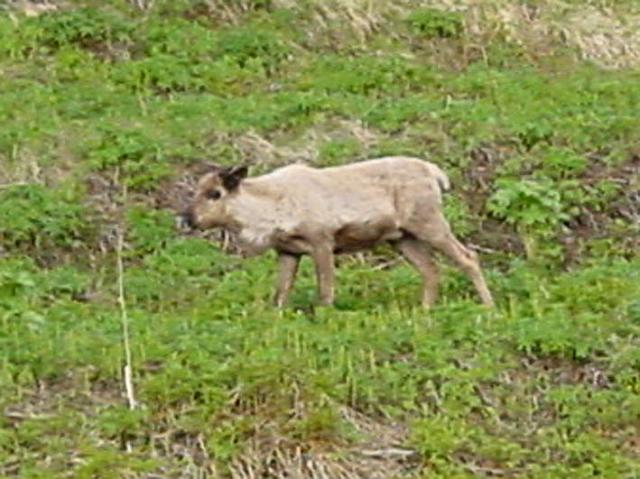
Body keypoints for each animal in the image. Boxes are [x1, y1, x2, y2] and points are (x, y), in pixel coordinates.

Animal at [181, 156, 496, 310]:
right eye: (196, 189)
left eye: (215, 193)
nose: (186, 219)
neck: (272, 212)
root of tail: (436, 174)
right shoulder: (288, 251)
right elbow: (280, 294)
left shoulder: (322, 241)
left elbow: (325, 292)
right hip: (402, 237)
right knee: (431, 270)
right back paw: (424, 312)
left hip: (427, 221)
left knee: (468, 256)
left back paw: (488, 307)